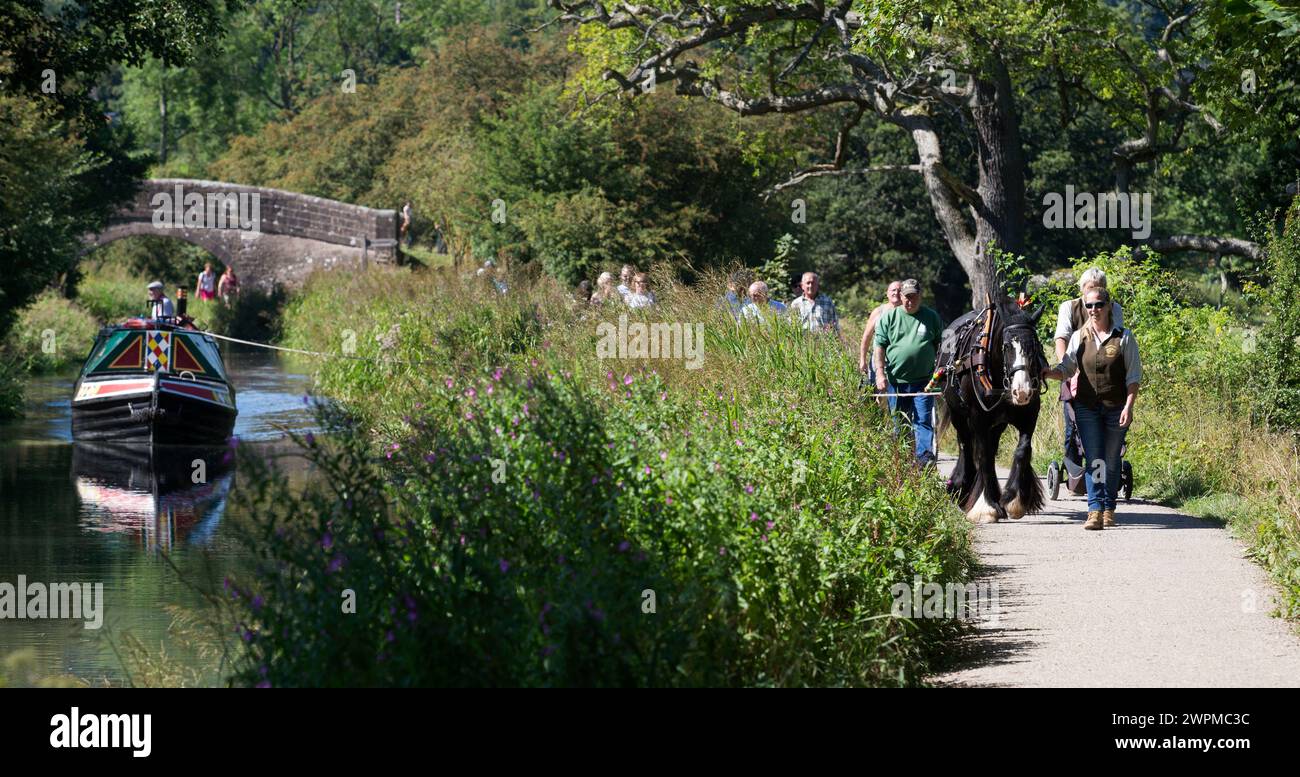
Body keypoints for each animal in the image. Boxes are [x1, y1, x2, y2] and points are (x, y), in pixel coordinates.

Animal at [941, 287, 1050, 524]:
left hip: (997, 424)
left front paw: (1013, 499)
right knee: (966, 446)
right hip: (958, 415)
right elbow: (982, 456)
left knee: (990, 451)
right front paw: (987, 506)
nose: (1022, 391)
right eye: (1007, 346)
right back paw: (963, 488)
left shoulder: (1029, 415)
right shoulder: (977, 418)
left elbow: (1022, 451)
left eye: (1035, 346)